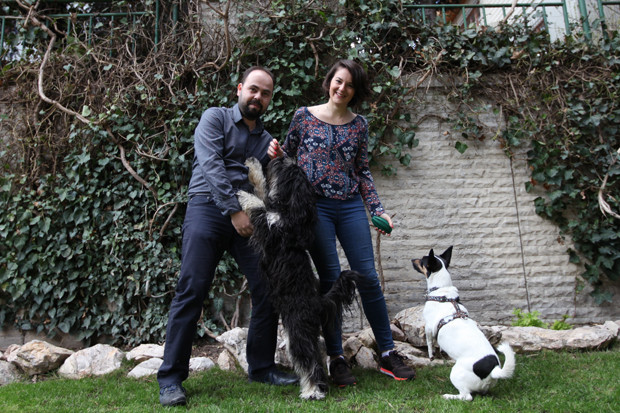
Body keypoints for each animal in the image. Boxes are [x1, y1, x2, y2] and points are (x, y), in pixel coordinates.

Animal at [237, 156, 359, 400]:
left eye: (287, 170)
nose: (279, 156)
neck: (291, 214)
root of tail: (319, 302)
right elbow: (263, 189)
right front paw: (253, 168)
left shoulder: (269, 227)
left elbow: (259, 204)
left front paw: (242, 194)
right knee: (317, 358)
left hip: (296, 333)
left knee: (309, 361)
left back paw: (313, 392)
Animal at [411, 246, 515, 401]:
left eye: (422, 260)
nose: (412, 259)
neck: (442, 291)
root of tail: (493, 371)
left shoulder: (429, 327)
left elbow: (429, 343)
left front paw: (431, 355)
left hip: (456, 374)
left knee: (467, 397)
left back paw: (449, 396)